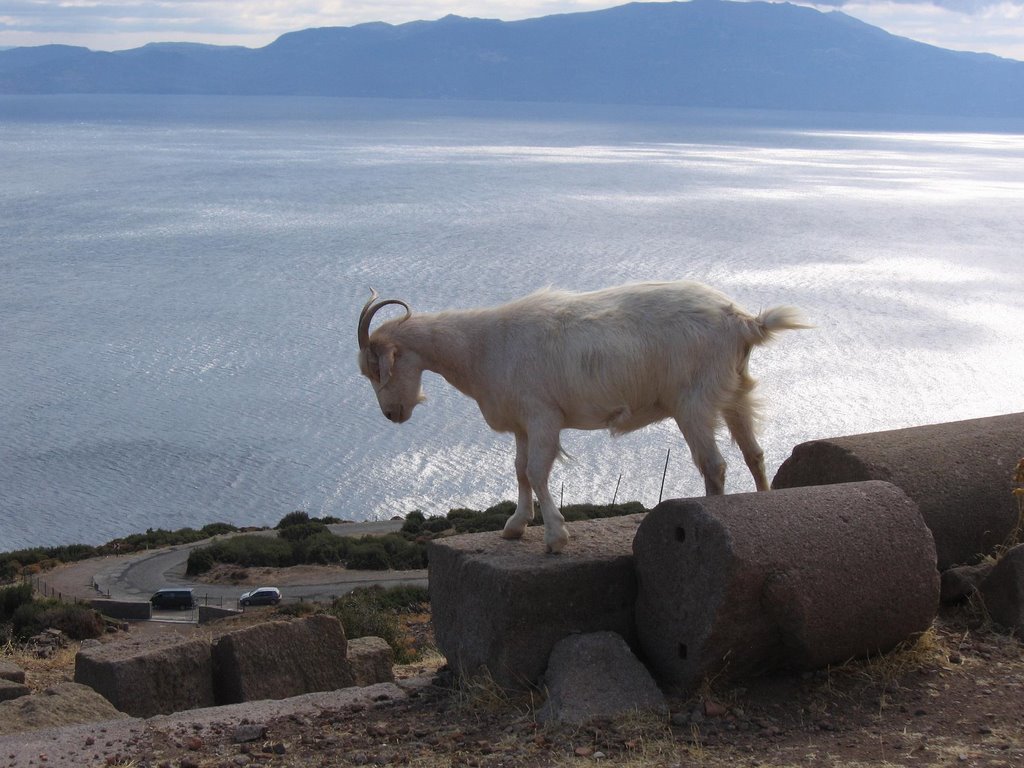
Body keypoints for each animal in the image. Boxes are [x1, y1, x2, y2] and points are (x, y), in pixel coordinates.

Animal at [360, 282, 806, 552]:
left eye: (376, 369)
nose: (391, 414)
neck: (481, 346)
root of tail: (743, 321)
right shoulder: (522, 422)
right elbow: (520, 470)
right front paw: (515, 526)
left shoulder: (543, 417)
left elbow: (537, 471)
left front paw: (556, 536)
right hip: (734, 392)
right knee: (753, 453)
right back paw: (766, 507)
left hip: (693, 403)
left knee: (713, 465)